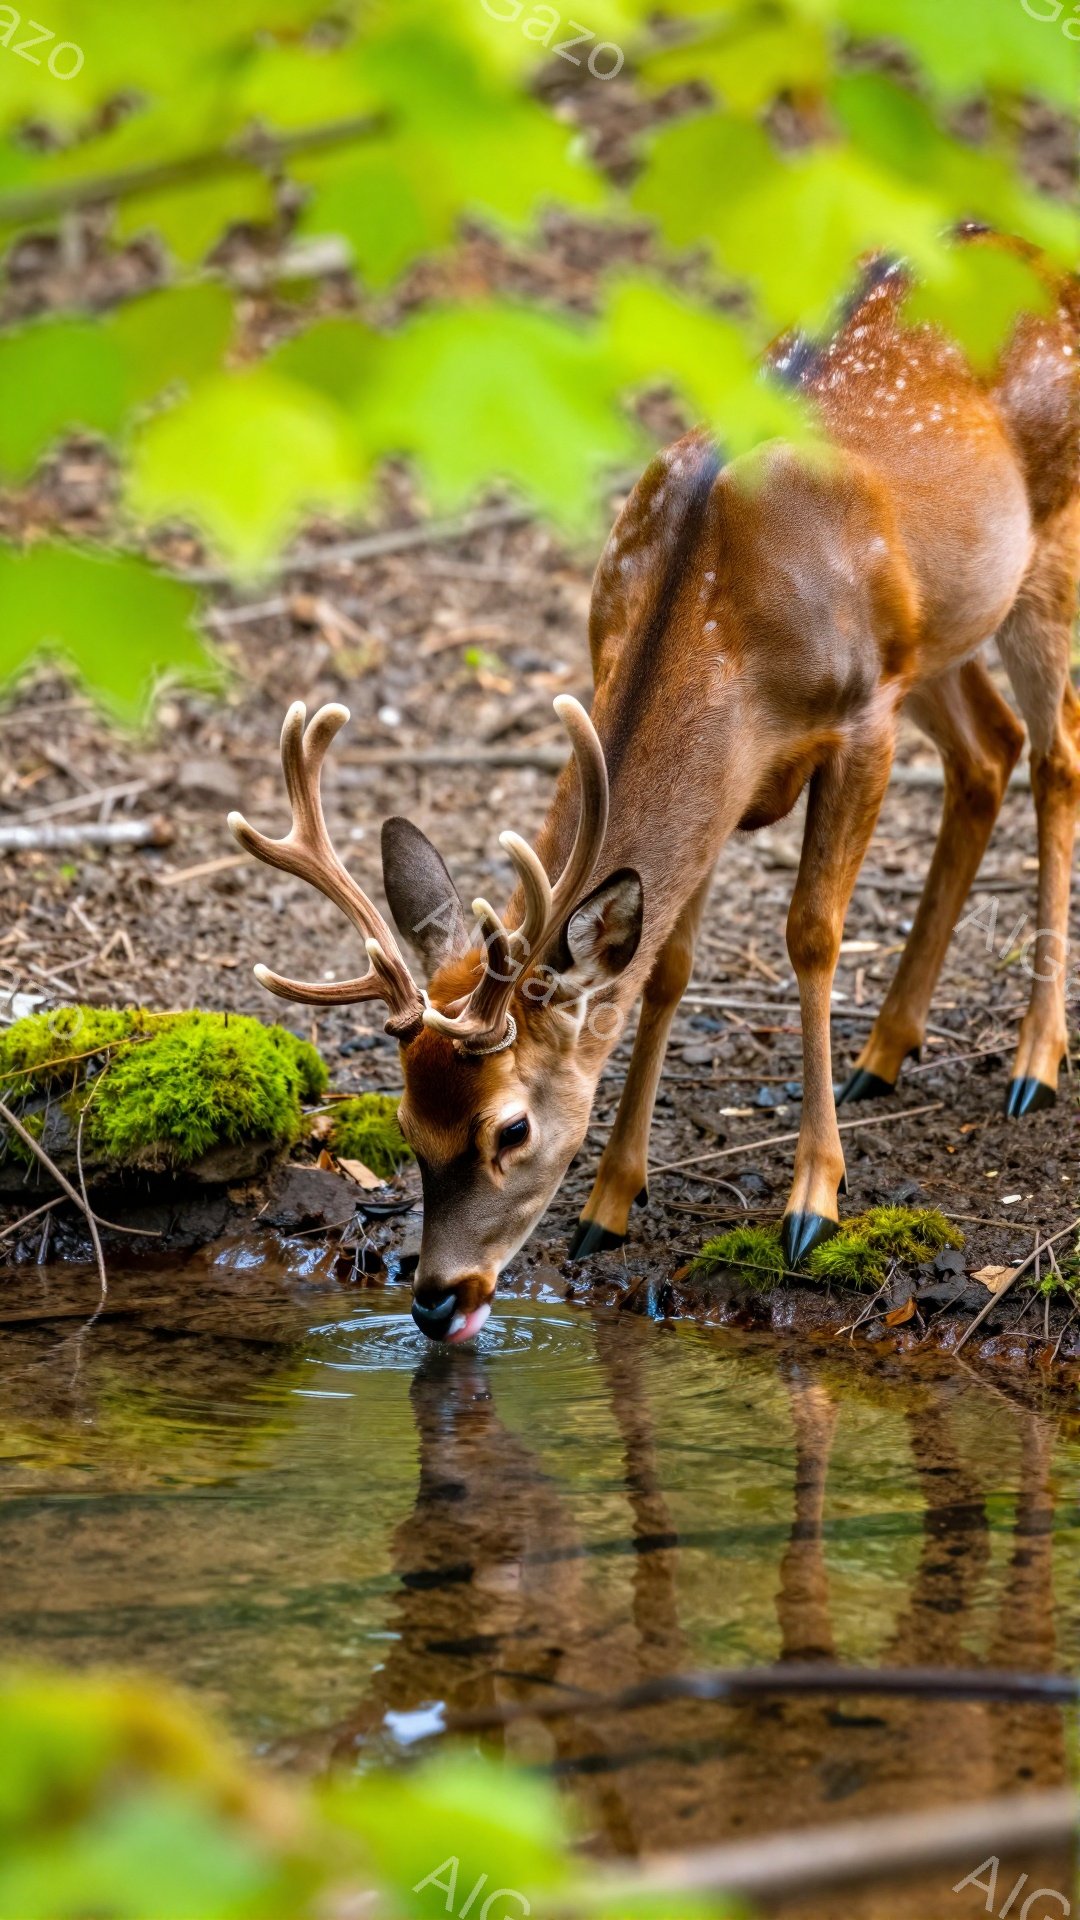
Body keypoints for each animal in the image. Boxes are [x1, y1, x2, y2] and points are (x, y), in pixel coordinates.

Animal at [230, 229, 1080, 1344]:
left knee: (1057, 756)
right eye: (408, 1120)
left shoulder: (861, 714)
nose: (436, 1299)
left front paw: (813, 1202)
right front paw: (607, 1207)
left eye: (510, 1128)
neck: (725, 620)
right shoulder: (736, 770)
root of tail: (1036, 252)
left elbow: (812, 932)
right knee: (990, 750)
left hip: (1046, 550)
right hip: (941, 628)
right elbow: (665, 966)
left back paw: (1033, 1063)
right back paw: (887, 1050)